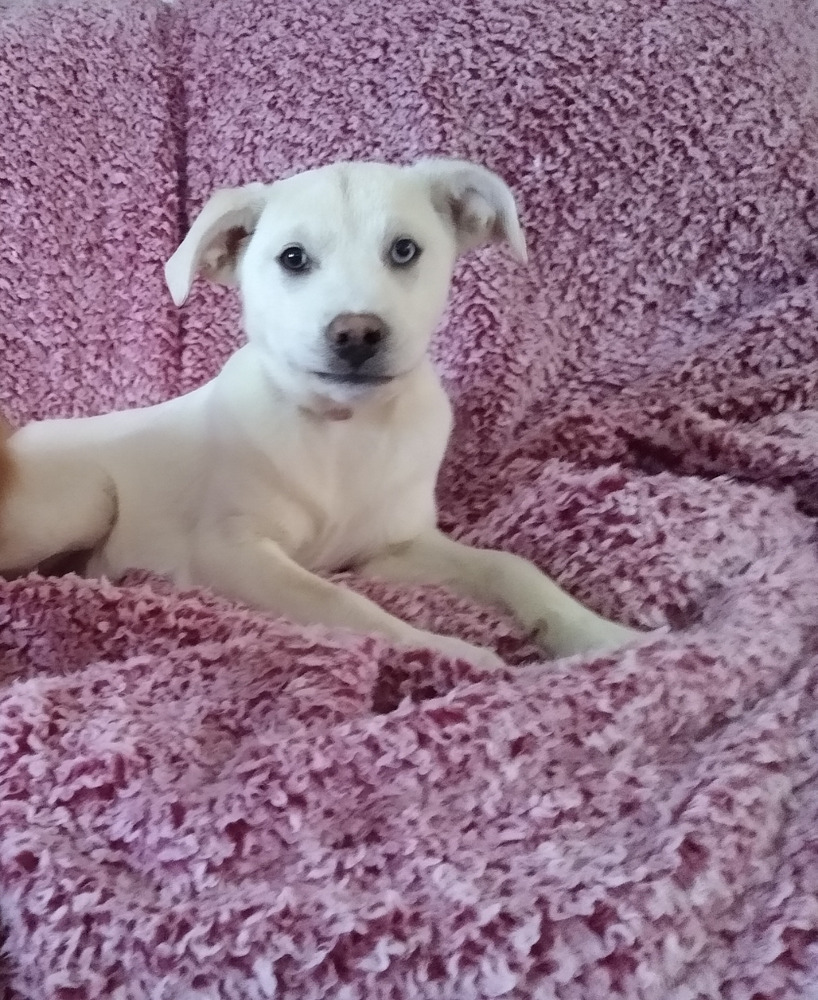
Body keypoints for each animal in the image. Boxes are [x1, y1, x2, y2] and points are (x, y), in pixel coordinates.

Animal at [0, 160, 636, 668]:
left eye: (404, 249)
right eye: (293, 258)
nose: (356, 334)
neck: (341, 429)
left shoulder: (393, 549)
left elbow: (510, 565)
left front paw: (597, 632)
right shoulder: (232, 552)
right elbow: (341, 600)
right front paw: (451, 651)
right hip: (87, 495)